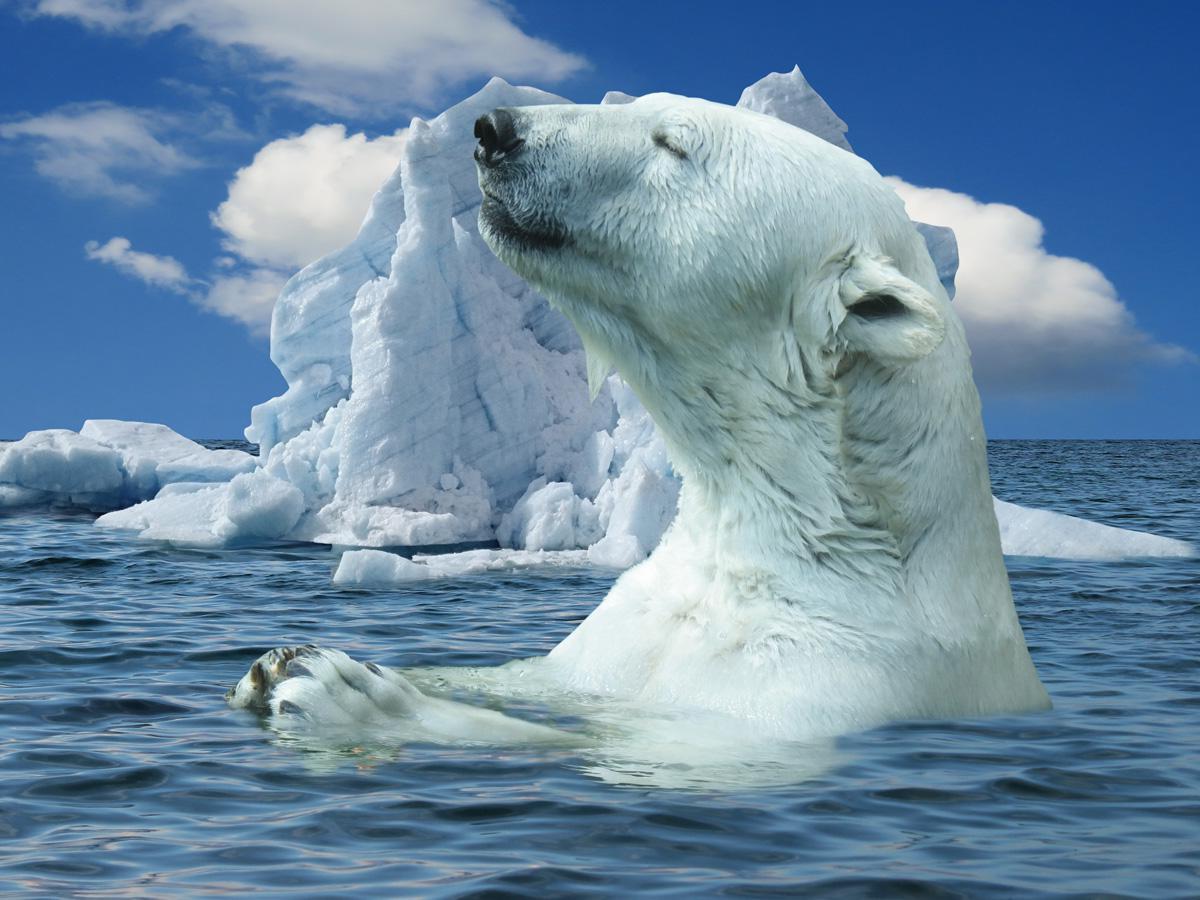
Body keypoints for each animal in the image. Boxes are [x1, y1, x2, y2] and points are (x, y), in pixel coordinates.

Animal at [230, 93, 1050, 749]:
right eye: (654, 105)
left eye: (672, 142)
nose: (495, 128)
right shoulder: (612, 641)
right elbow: (530, 677)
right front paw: (285, 662)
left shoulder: (822, 682)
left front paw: (346, 692)